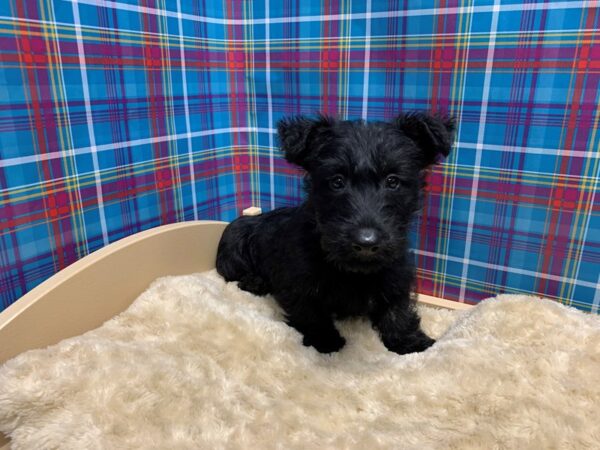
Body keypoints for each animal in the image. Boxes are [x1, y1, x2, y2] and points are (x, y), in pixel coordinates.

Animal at [216, 113, 454, 356]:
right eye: (337, 181)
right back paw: (255, 282)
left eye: (393, 181)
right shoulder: (298, 282)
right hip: (234, 244)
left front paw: (411, 341)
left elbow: (398, 309)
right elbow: (310, 311)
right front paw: (326, 340)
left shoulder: (397, 273)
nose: (366, 243)